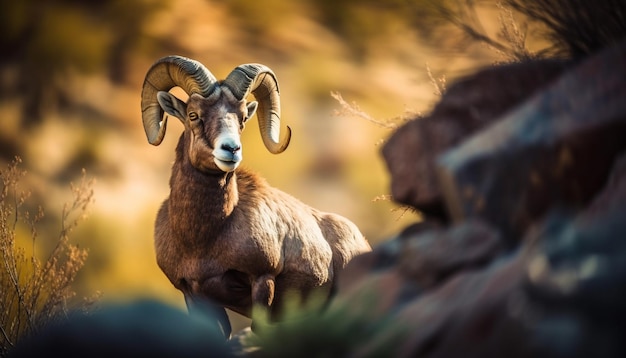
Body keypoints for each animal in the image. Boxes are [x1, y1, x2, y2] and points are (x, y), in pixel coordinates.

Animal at [140, 54, 370, 338]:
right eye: (194, 115)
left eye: (241, 119)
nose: (231, 149)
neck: (203, 238)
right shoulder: (193, 294)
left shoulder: (262, 280)